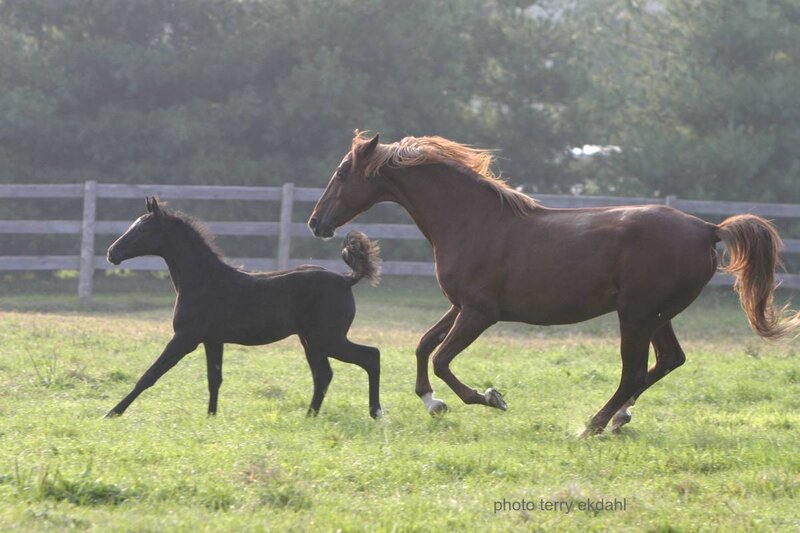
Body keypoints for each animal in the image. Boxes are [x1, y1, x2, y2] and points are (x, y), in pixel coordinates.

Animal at [105, 197, 383, 419]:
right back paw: (310, 417)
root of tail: (347, 280)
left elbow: (149, 375)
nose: (111, 252)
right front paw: (211, 417)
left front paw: (112, 413)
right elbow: (214, 379)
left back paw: (376, 412)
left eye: (142, 229)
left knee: (370, 356)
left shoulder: (185, 337)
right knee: (323, 375)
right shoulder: (212, 340)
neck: (203, 280)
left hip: (328, 339)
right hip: (311, 340)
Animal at [308, 132, 800, 436]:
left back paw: (591, 426)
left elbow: (444, 359)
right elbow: (424, 345)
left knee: (635, 371)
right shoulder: (460, 306)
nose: (316, 223)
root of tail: (707, 228)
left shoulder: (481, 313)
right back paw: (618, 419)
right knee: (668, 360)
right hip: (657, 315)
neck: (471, 220)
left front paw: (490, 398)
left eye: (342, 173)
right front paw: (432, 403)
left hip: (636, 315)